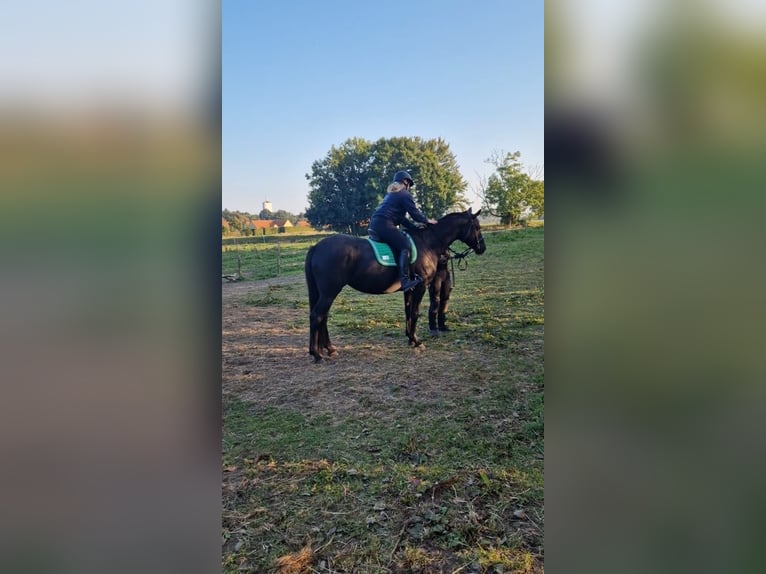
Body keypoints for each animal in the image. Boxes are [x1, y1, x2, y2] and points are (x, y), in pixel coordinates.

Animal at [304, 209, 486, 362]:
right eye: (477, 227)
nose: (482, 248)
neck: (427, 242)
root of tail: (317, 246)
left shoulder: (409, 289)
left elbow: (408, 312)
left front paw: (410, 338)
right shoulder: (420, 286)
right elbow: (415, 313)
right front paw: (417, 341)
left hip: (326, 293)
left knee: (323, 317)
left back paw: (329, 348)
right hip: (329, 292)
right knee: (317, 316)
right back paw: (317, 354)